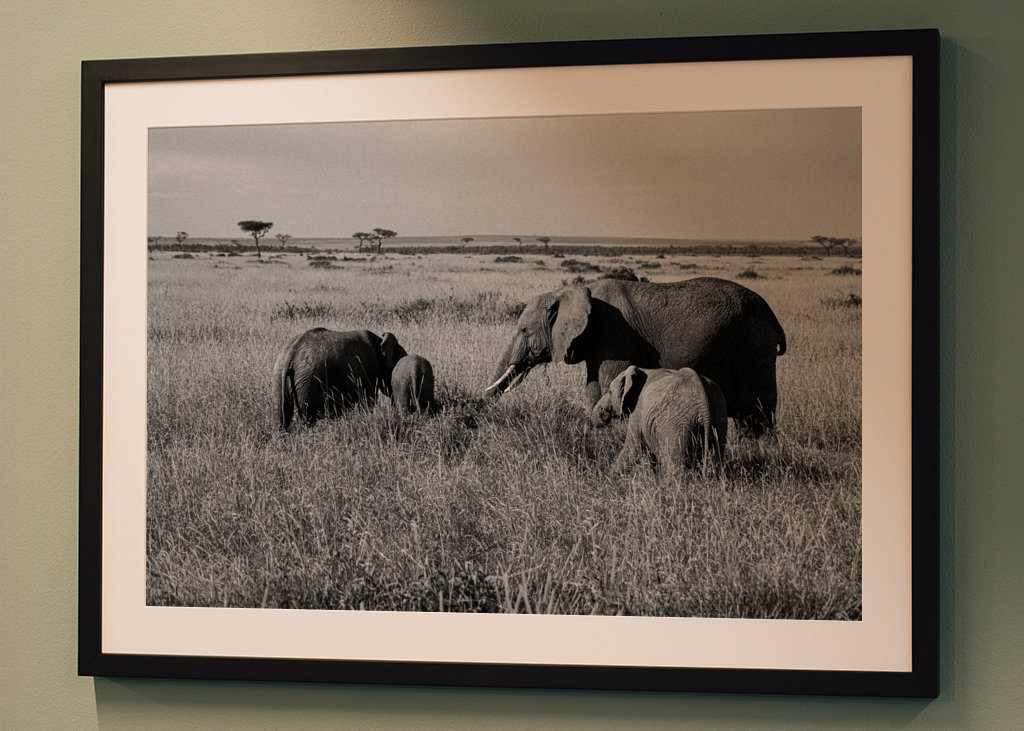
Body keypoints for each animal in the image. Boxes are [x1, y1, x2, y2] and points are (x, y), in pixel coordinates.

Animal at [273, 328, 406, 431]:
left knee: (282, 416)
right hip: (308, 382)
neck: (380, 341)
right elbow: (368, 402)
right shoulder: (369, 373)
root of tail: (291, 353)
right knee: (307, 419)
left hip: (279, 377)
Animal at [484, 277, 786, 435]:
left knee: (757, 408)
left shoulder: (614, 334)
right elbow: (593, 388)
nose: (478, 408)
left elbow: (609, 383)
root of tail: (774, 319)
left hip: (752, 343)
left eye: (524, 330)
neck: (574, 291)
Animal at [592, 365, 728, 472]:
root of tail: (703, 402)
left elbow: (633, 447)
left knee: (674, 464)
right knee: (719, 454)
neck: (642, 369)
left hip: (675, 424)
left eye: (610, 392)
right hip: (719, 417)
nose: (602, 414)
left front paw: (608, 477)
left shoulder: (637, 410)